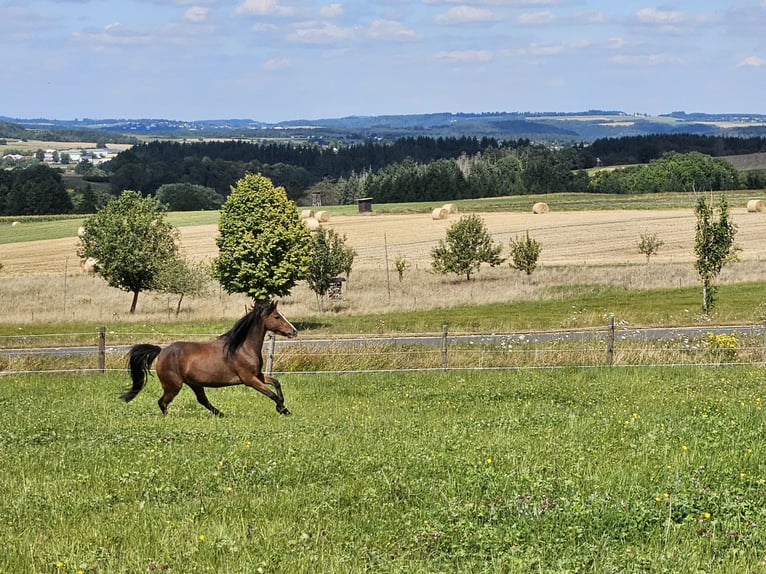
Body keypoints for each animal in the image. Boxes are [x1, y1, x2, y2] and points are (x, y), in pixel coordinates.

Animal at [122, 300, 297, 417]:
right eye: (277, 317)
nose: (294, 331)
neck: (243, 348)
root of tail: (162, 350)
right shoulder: (249, 379)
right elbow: (271, 394)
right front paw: (282, 409)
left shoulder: (258, 375)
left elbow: (276, 383)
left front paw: (284, 409)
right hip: (174, 385)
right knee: (162, 401)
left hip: (194, 384)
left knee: (202, 400)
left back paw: (220, 414)